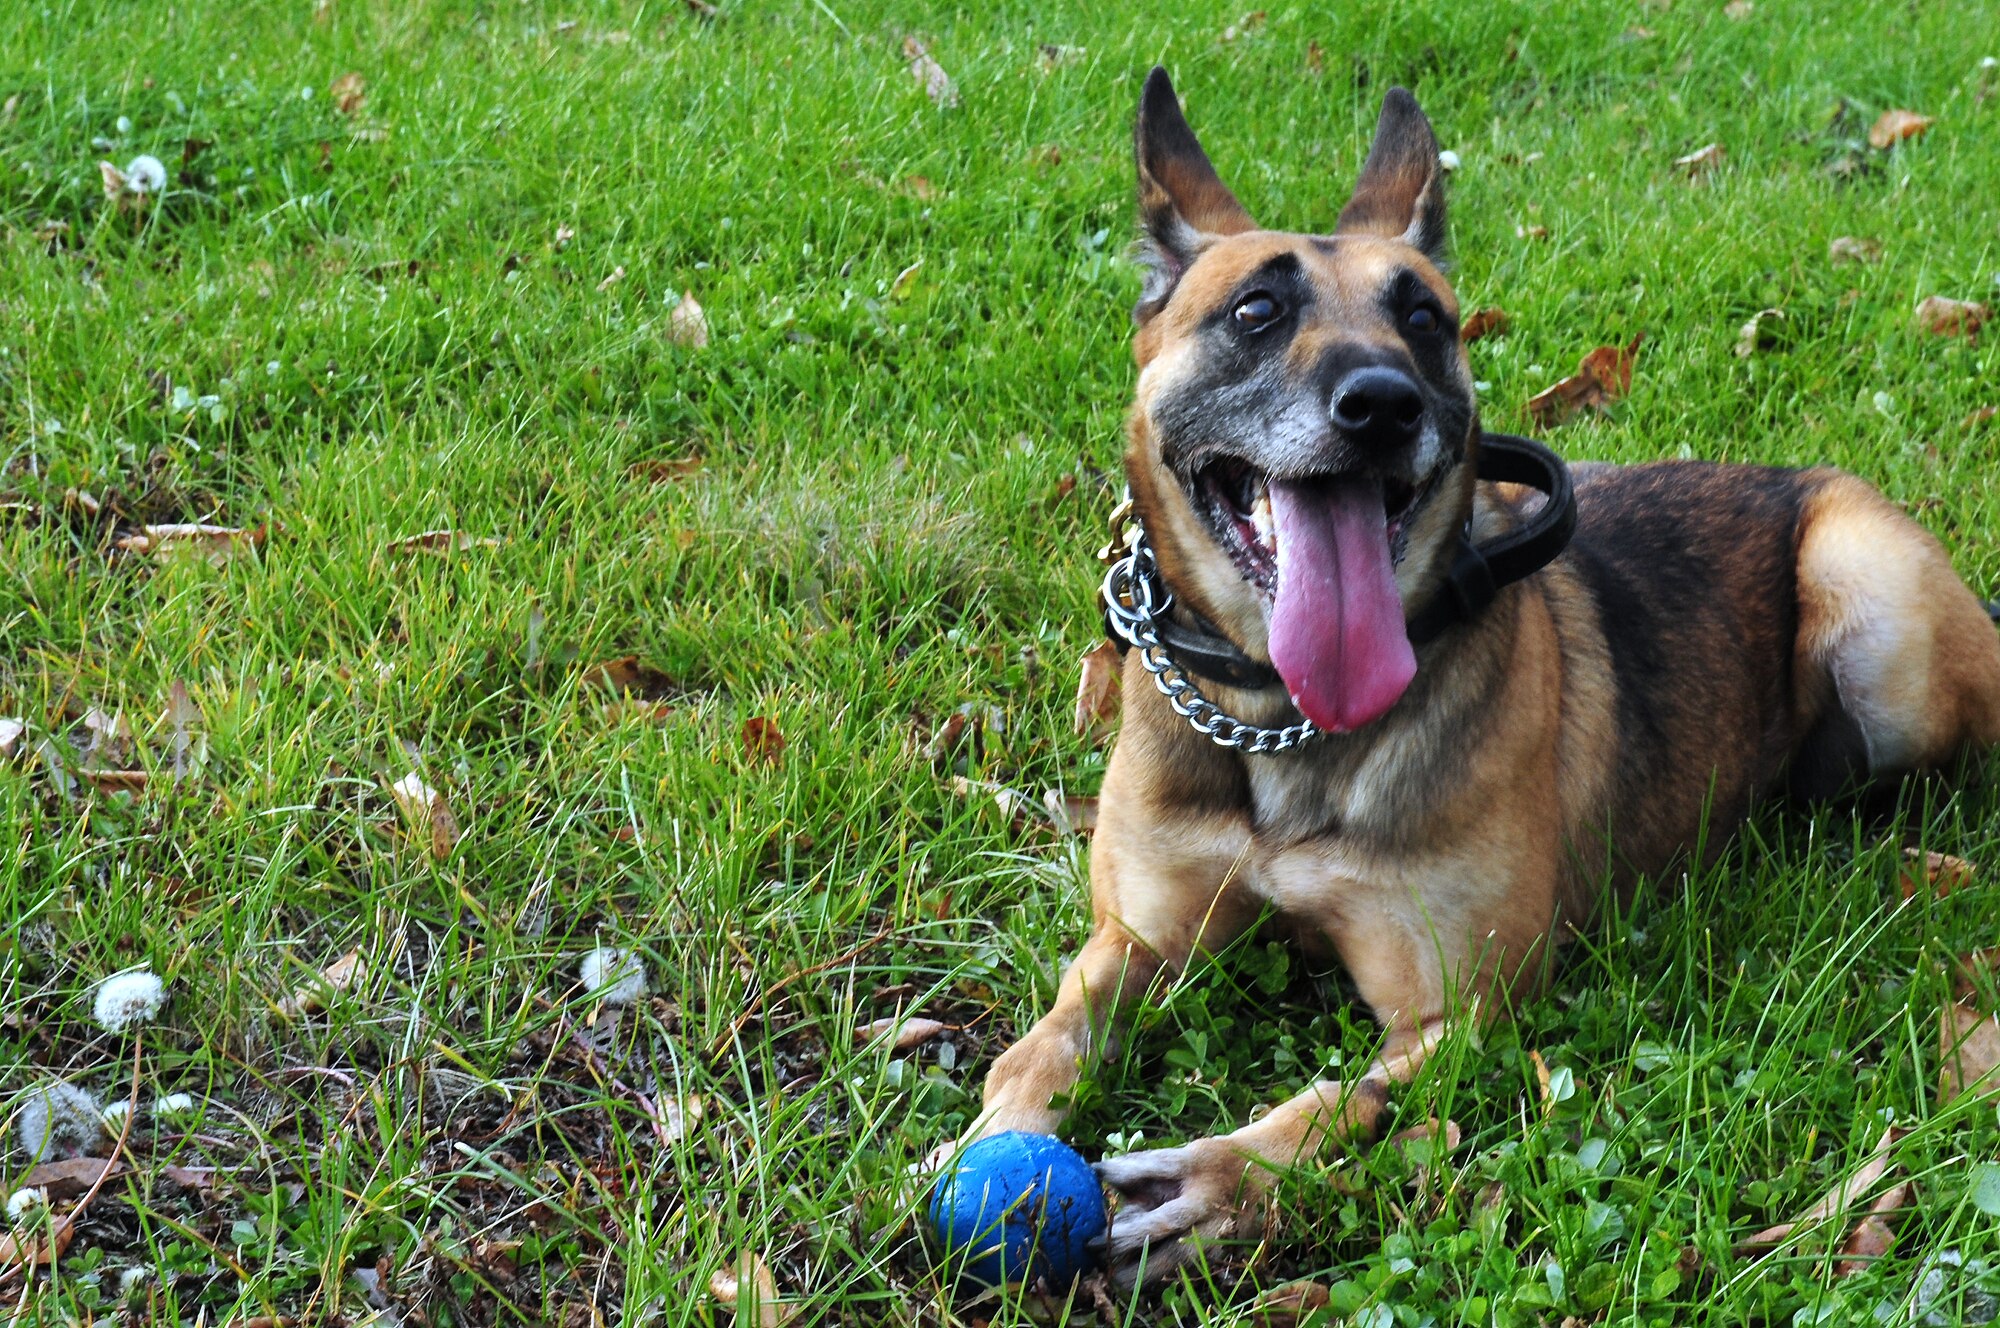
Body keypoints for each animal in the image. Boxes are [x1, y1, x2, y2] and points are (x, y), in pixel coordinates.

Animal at [948, 70, 2000, 1288]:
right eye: (1255, 312)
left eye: (1422, 319)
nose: (1381, 403)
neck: (1284, 721)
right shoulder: (1140, 939)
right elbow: (1041, 1043)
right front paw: (989, 1144)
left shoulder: (1462, 1011)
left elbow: (1328, 1106)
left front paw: (1217, 1182)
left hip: (1867, 588)